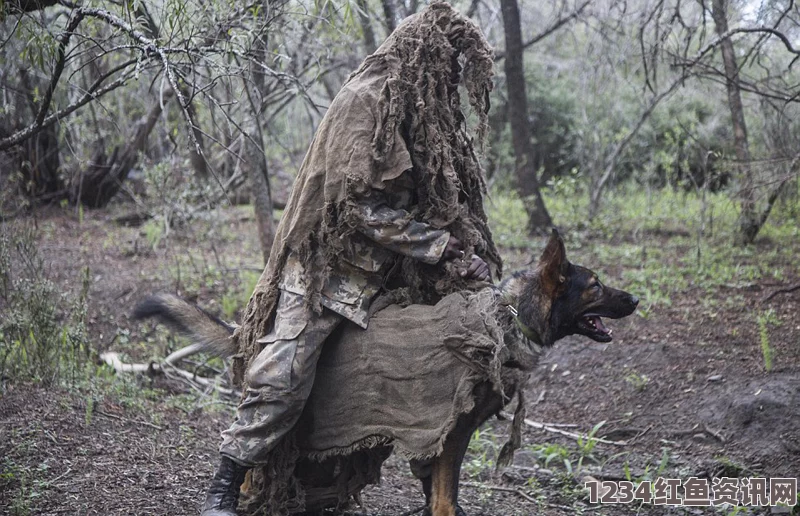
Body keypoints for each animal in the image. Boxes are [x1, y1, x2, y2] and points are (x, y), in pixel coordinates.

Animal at [133, 231, 636, 516]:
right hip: (287, 404)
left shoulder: (436, 437)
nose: (635, 300)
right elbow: (445, 500)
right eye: (595, 286)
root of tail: (252, 334)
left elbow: (437, 493)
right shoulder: (451, 434)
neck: (505, 319)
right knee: (248, 452)